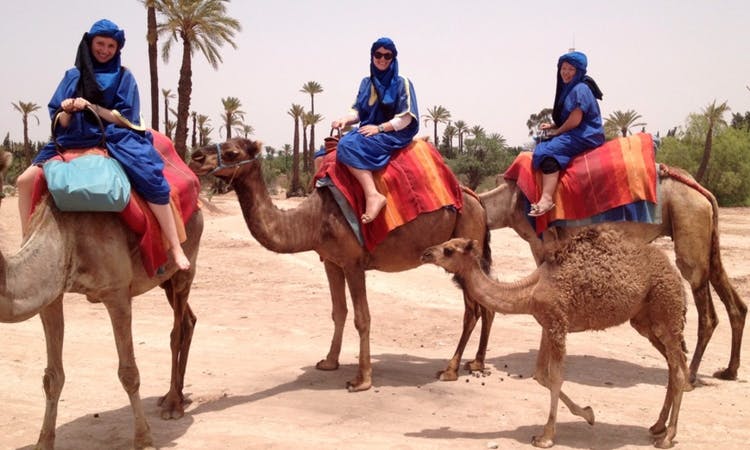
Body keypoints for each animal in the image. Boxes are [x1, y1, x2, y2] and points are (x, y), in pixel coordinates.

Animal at [0, 196, 203, 449]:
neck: (64, 235)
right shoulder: (51, 296)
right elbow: (52, 377)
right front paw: (43, 442)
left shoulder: (117, 293)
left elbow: (129, 373)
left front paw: (144, 440)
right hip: (163, 281)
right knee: (188, 321)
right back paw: (177, 396)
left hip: (186, 265)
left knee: (177, 329)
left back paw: (173, 404)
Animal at [189, 138, 492, 391]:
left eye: (232, 152)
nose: (195, 156)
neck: (314, 220)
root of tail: (476, 200)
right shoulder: (331, 262)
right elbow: (339, 311)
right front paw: (329, 362)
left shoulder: (353, 262)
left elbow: (362, 317)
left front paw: (362, 379)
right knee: (484, 304)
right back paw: (476, 363)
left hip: (462, 246)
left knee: (471, 311)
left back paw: (450, 369)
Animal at [421, 228, 692, 448]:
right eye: (446, 242)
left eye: (448, 249)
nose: (425, 253)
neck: (529, 291)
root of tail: (675, 273)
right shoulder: (546, 325)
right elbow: (541, 375)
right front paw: (588, 413)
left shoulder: (558, 325)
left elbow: (556, 377)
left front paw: (546, 437)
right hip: (645, 321)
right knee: (673, 365)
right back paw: (657, 426)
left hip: (666, 310)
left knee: (679, 369)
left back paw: (667, 437)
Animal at [478, 167, 747, 384]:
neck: (507, 204)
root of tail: (702, 192)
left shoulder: (543, 243)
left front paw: (542, 370)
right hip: (705, 232)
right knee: (732, 297)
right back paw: (728, 371)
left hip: (688, 219)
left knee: (704, 305)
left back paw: (691, 373)